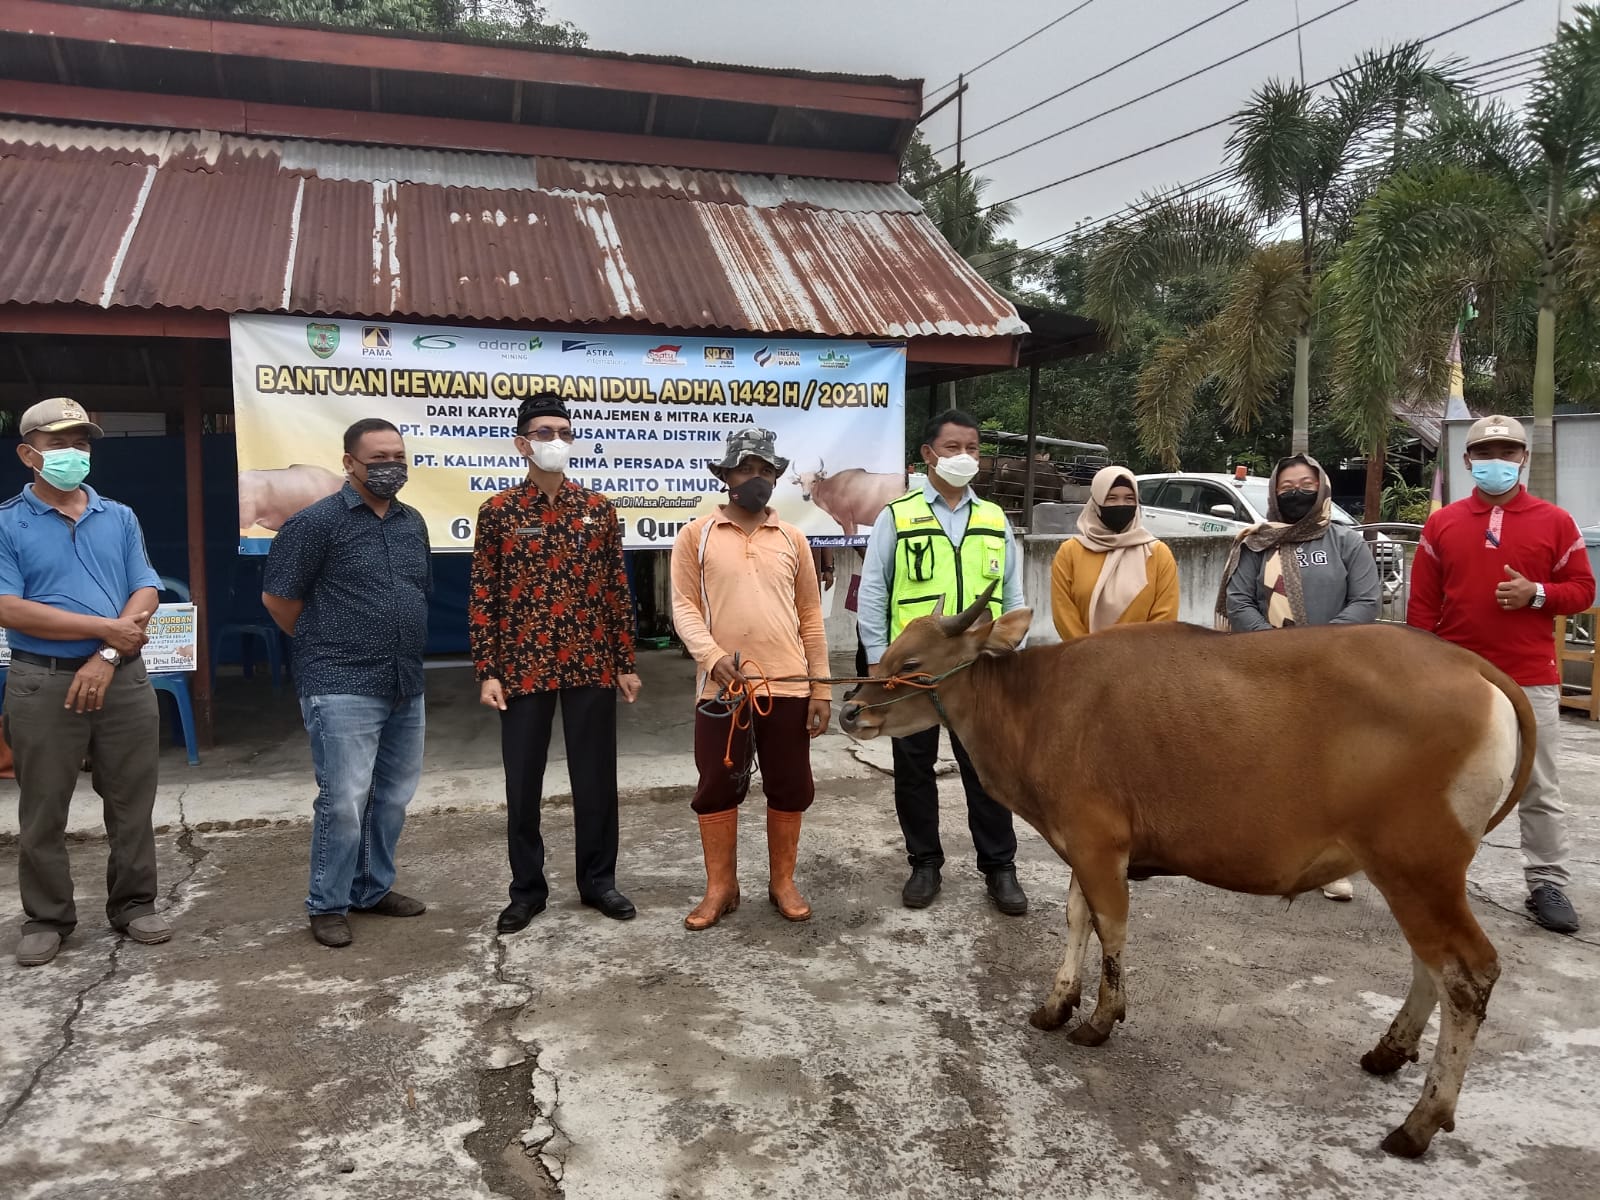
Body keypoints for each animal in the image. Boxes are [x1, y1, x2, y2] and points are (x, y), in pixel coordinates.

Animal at [838, 588, 1536, 1158]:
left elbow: (1112, 929)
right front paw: (1057, 1002)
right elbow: (1077, 920)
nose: (849, 711)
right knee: (1431, 967)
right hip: (1410, 875)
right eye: (888, 650)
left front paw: (1100, 1019)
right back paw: (1390, 1051)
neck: (1039, 704)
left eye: (910, 665)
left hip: (1420, 868)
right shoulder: (1082, 845)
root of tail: (1468, 665)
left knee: (1468, 975)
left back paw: (1421, 1122)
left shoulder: (1098, 845)